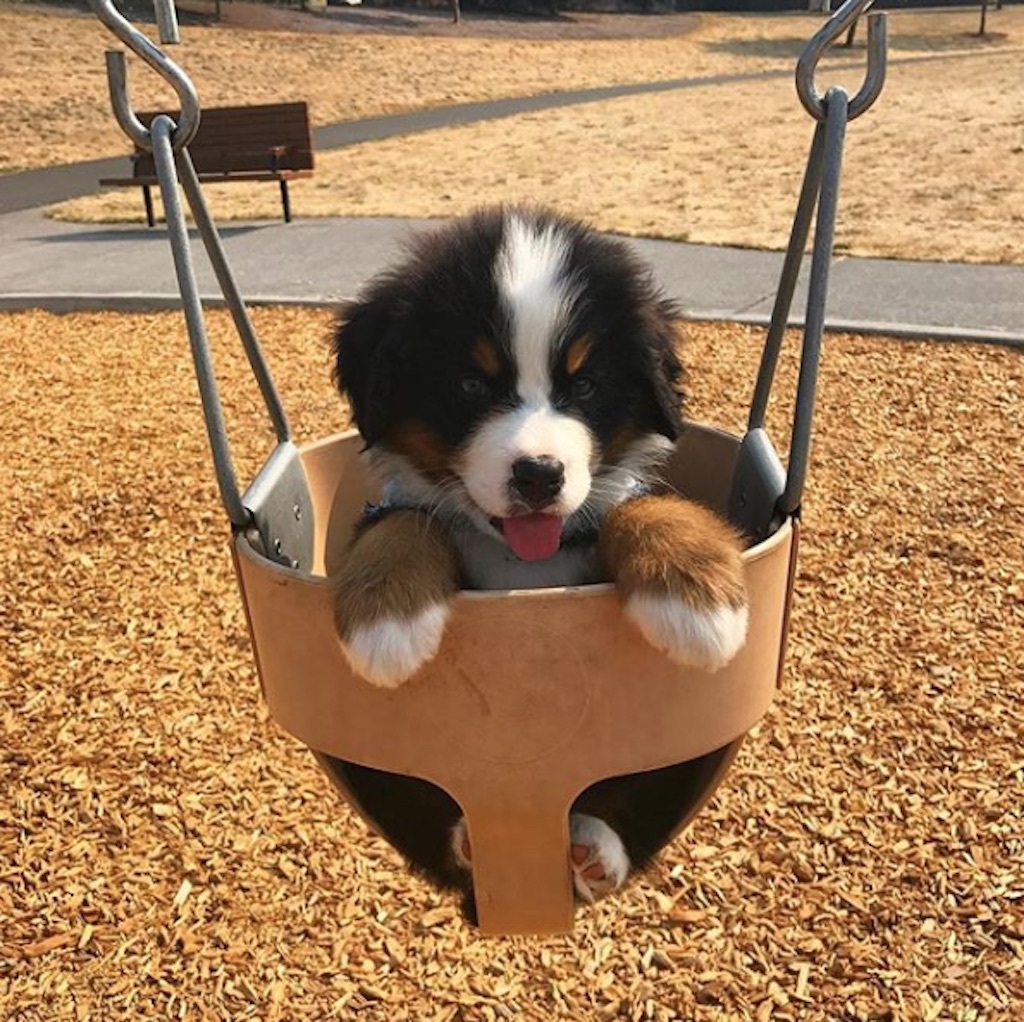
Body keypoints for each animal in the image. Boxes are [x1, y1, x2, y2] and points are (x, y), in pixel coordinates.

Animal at [325, 205, 745, 913]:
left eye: (585, 385)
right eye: (470, 383)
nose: (540, 476)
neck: (516, 559)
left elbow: (633, 507)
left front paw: (698, 595)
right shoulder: (393, 509)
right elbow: (408, 520)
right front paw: (388, 623)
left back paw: (593, 849)